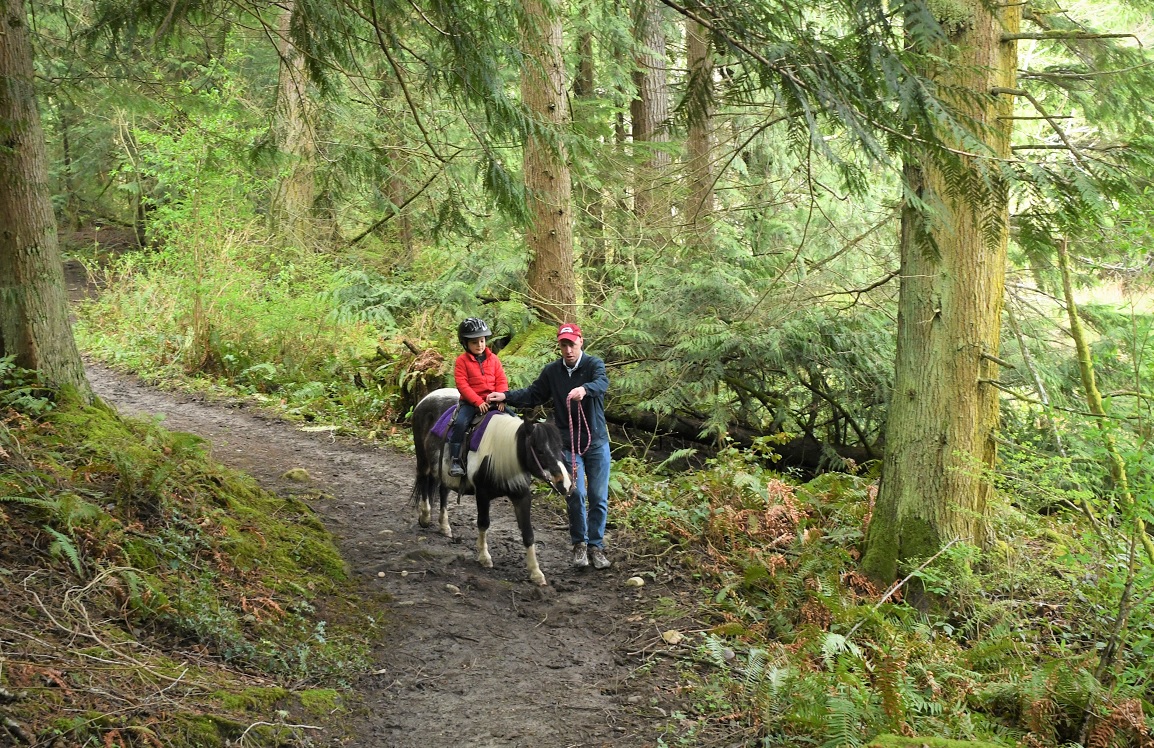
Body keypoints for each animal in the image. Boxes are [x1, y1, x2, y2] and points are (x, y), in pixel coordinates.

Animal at [410, 387, 572, 586]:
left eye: (560, 448)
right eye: (540, 451)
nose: (565, 483)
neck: (503, 453)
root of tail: (426, 397)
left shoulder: (522, 495)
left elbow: (528, 533)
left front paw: (536, 572)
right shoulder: (482, 493)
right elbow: (483, 523)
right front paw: (484, 557)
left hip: (444, 469)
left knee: (443, 490)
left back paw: (445, 526)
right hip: (423, 459)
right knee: (424, 480)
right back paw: (425, 517)